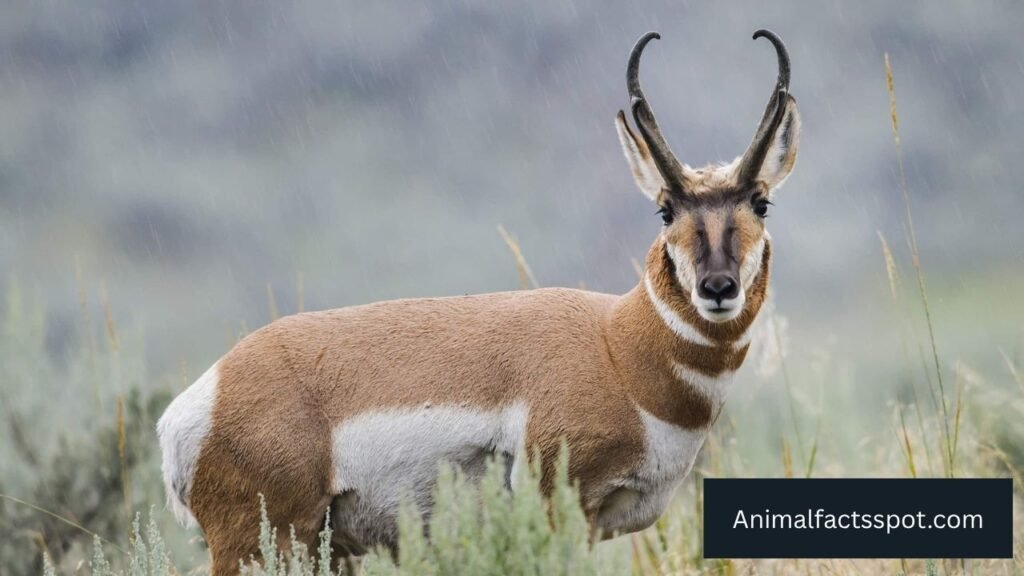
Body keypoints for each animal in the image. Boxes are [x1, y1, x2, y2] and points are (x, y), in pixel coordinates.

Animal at [157, 29, 800, 574]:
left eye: (761, 203)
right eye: (666, 209)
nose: (717, 288)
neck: (617, 347)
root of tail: (202, 398)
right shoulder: (553, 504)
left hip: (319, 548)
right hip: (267, 544)